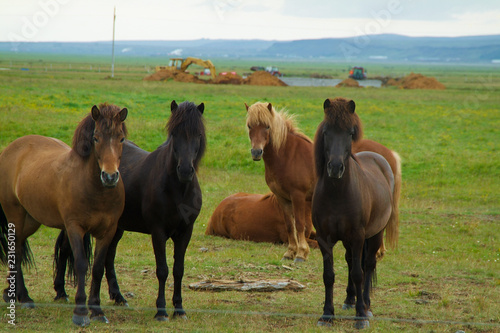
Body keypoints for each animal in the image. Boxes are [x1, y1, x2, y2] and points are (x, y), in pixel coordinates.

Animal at [53, 100, 205, 320]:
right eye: (175, 133)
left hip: (116, 227)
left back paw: (118, 297)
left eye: (198, 135)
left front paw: (179, 309)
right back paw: (61, 292)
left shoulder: (186, 232)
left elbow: (178, 269)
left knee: (108, 257)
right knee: (65, 249)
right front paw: (161, 311)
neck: (178, 189)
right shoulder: (158, 232)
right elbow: (162, 270)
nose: (185, 171)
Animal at [312, 97, 398, 328]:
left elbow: (359, 273)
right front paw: (327, 314)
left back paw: (365, 304)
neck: (337, 194)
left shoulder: (359, 236)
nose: (335, 167)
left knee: (367, 265)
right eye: (326, 132)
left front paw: (360, 316)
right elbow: (329, 275)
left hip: (375, 233)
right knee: (351, 260)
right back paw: (350, 299)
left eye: (350, 133)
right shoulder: (324, 239)